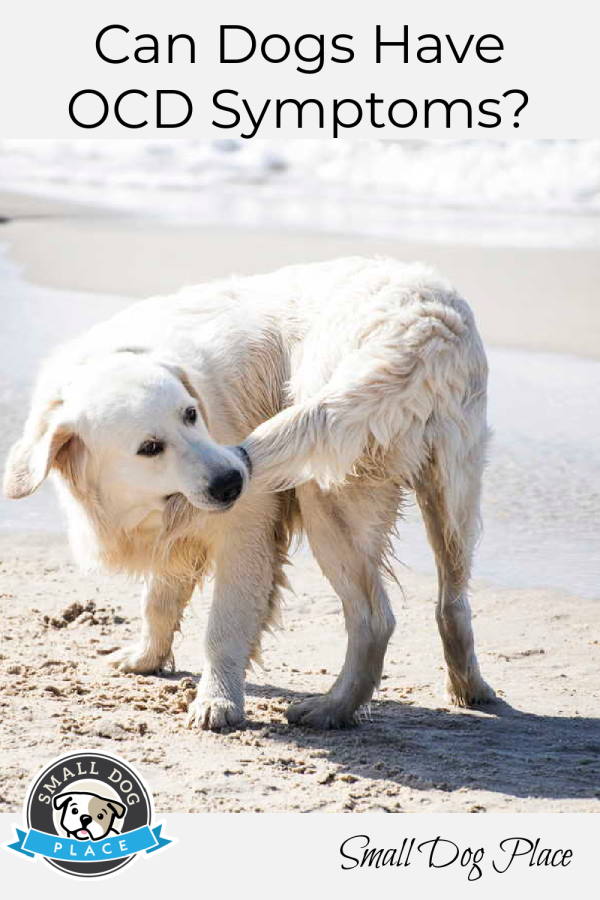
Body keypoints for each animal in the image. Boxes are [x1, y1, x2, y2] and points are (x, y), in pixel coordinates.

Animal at [3, 256, 492, 728]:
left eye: (191, 414)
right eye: (149, 447)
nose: (232, 480)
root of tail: (424, 326)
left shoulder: (246, 529)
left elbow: (223, 626)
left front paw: (217, 701)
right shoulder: (175, 533)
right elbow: (158, 600)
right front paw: (145, 658)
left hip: (327, 496)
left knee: (375, 619)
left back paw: (331, 709)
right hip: (452, 496)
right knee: (452, 604)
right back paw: (469, 689)